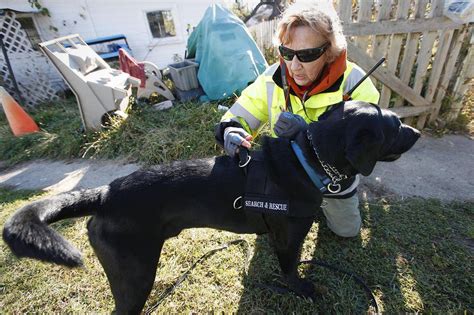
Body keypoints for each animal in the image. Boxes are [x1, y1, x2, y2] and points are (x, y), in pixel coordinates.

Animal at [2, 102, 418, 314]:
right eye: (395, 126)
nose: (416, 131)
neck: (308, 158)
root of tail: (105, 192)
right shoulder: (288, 240)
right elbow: (290, 271)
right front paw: (303, 289)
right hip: (135, 276)